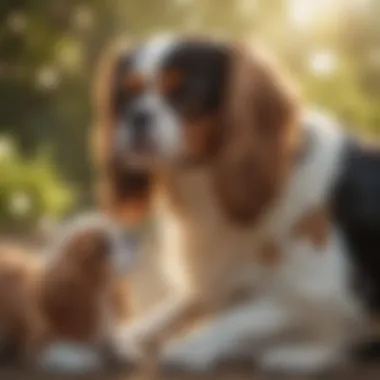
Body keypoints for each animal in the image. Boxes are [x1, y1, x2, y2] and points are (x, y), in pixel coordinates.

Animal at [93, 34, 380, 372]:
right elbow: (188, 300)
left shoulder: (327, 288)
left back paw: (295, 355)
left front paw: (195, 345)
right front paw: (135, 331)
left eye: (184, 93)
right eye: (127, 94)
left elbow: (251, 311)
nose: (137, 115)